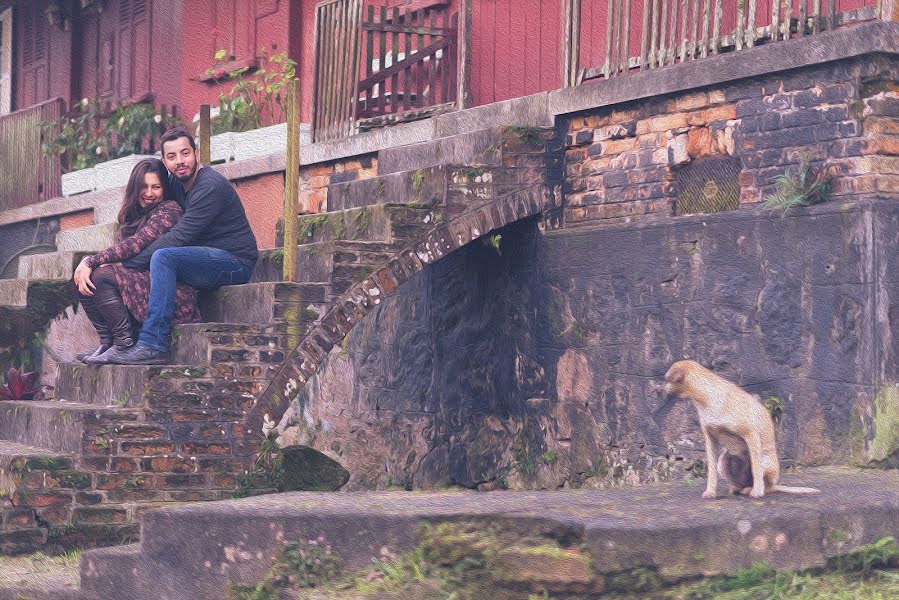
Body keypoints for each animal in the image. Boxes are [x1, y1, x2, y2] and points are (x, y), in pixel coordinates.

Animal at [660, 360, 824, 496]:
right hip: (724, 461)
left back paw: (753, 489)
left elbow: (756, 469)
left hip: (766, 461)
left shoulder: (750, 434)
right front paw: (710, 491)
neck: (706, 398)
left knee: (765, 483)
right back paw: (738, 488)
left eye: (667, 379)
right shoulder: (711, 439)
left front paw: (757, 492)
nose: (660, 390)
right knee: (736, 479)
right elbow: (711, 470)